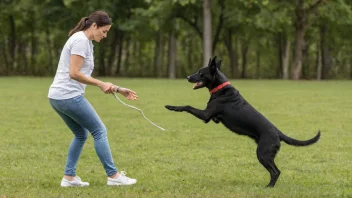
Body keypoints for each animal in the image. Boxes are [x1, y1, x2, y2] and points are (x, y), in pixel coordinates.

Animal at [165, 56, 320, 187]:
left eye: (200, 72)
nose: (187, 77)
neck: (221, 88)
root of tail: (277, 133)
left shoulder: (205, 114)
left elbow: (187, 106)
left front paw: (171, 107)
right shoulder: (210, 117)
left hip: (263, 154)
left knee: (276, 172)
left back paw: (269, 187)